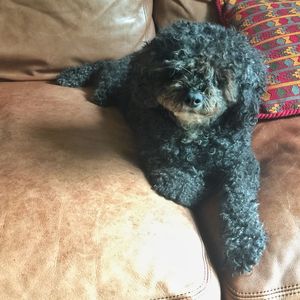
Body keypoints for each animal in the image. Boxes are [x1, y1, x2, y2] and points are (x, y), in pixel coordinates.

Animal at [57, 21, 268, 274]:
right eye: (176, 70)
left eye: (219, 76)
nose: (193, 97)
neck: (196, 132)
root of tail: (128, 57)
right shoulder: (158, 155)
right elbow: (184, 186)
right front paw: (202, 185)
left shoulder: (242, 162)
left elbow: (240, 199)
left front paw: (244, 246)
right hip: (109, 87)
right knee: (102, 72)